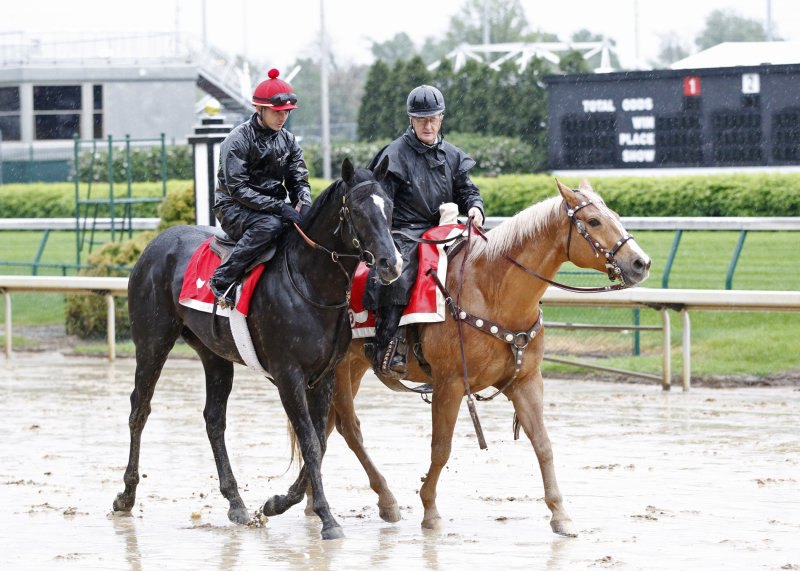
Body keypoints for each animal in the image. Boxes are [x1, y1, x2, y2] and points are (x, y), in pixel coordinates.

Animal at [111, 158, 400, 540]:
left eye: (390, 206)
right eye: (356, 209)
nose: (391, 264)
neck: (310, 284)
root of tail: (158, 242)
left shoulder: (324, 375)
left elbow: (319, 441)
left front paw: (278, 502)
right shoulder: (289, 375)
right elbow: (309, 440)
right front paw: (327, 518)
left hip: (214, 354)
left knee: (213, 419)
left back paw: (236, 502)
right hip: (152, 341)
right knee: (139, 410)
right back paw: (126, 495)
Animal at [304, 179, 648, 536]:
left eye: (615, 215)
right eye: (593, 221)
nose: (641, 263)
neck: (491, 291)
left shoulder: (526, 382)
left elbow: (543, 444)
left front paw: (560, 514)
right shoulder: (450, 385)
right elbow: (441, 449)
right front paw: (430, 509)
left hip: (352, 368)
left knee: (325, 428)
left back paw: (310, 498)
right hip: (340, 369)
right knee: (348, 429)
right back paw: (383, 499)